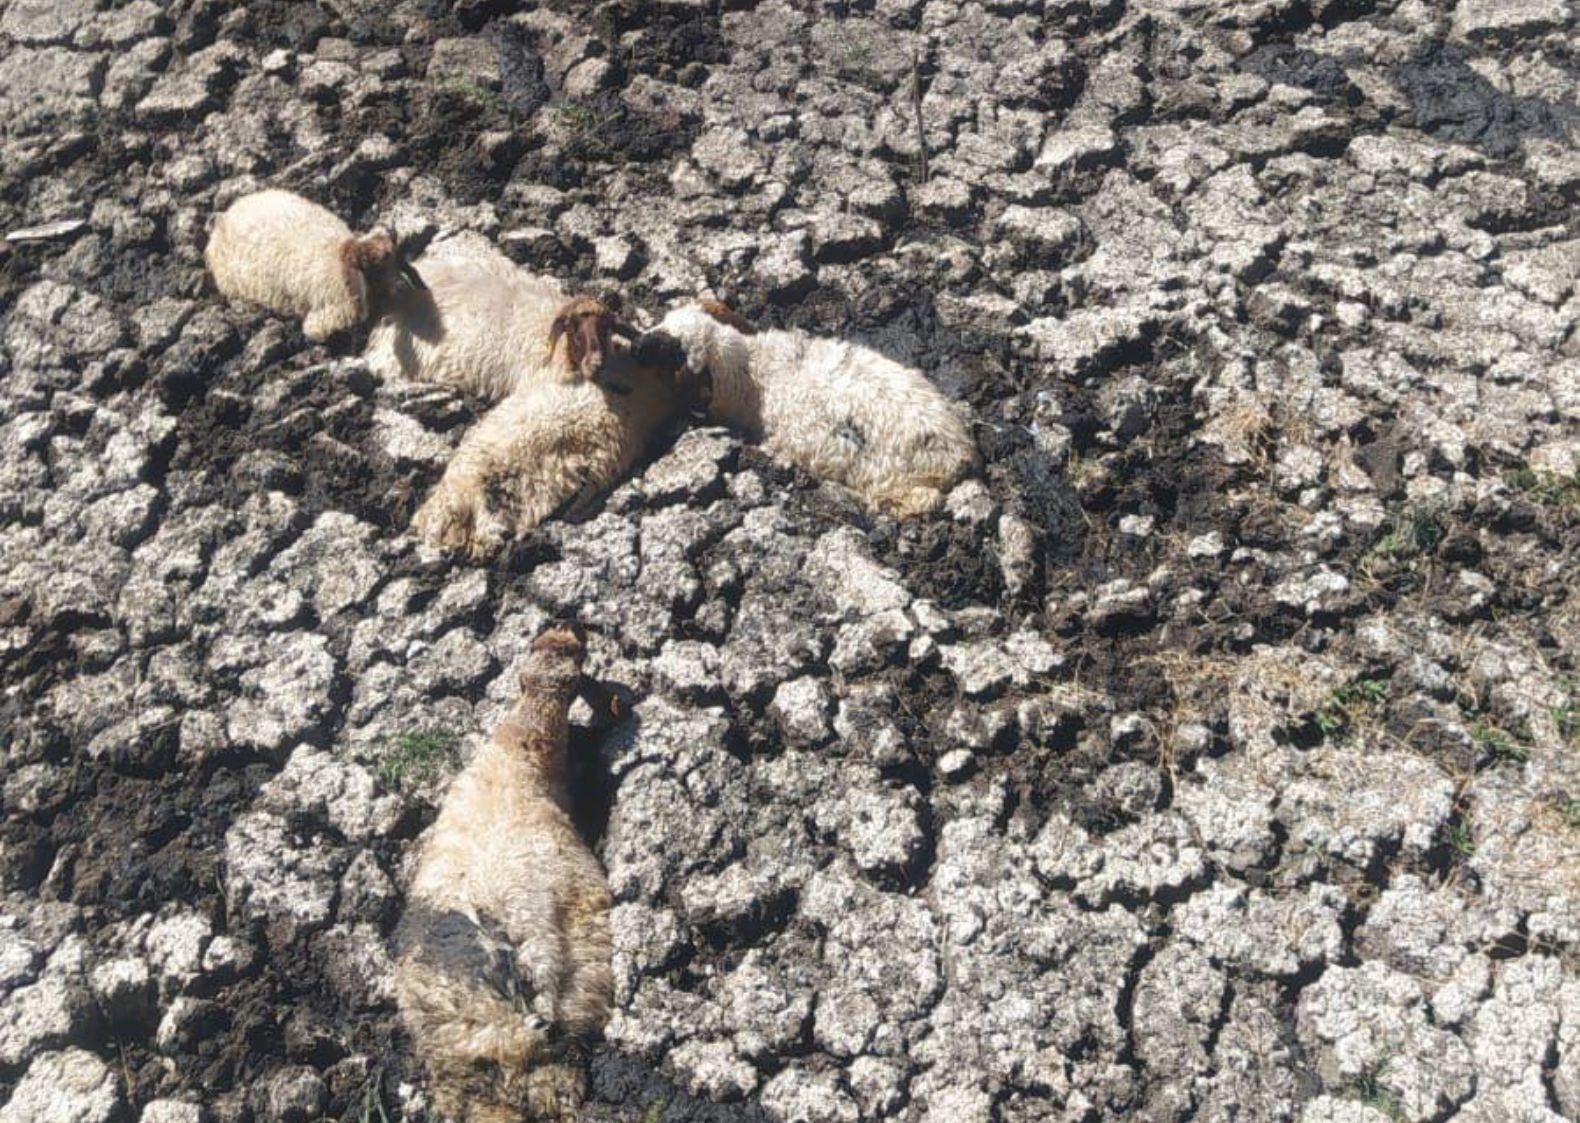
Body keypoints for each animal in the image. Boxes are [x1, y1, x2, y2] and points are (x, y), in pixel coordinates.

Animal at [641, 298, 973, 518]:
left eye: (670, 351)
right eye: (666, 318)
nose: (638, 345)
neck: (752, 371)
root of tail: (960, 455)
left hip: (898, 483)